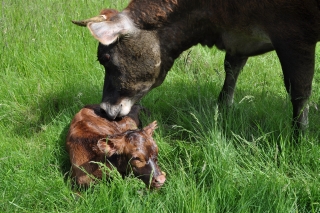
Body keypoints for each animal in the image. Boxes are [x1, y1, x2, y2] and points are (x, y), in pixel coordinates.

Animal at [72, 0, 320, 137]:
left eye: (105, 58)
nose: (104, 110)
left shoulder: (294, 34)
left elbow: (299, 90)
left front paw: (299, 135)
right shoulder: (239, 40)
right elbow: (232, 68)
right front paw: (223, 106)